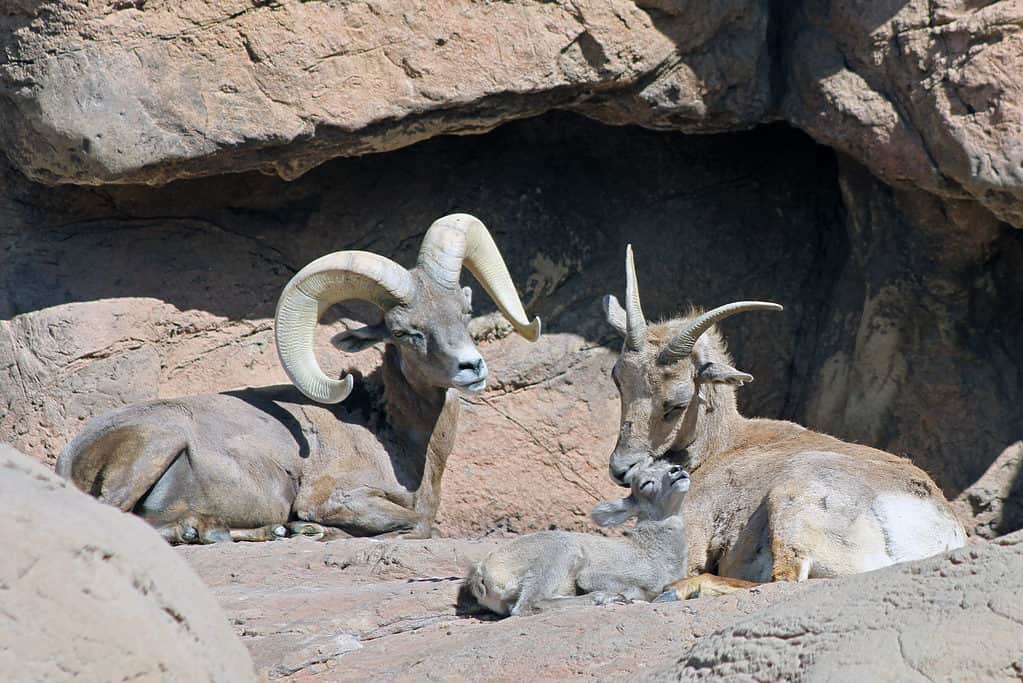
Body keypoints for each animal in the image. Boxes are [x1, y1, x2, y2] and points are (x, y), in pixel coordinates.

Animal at [56, 214, 540, 543]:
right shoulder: (332, 498)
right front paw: (315, 531)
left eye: (464, 312)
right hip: (159, 441)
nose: (471, 367)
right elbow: (418, 524)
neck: (396, 437)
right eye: (407, 332)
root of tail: (72, 455)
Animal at [466, 458, 692, 617]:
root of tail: (482, 573)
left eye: (668, 464)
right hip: (560, 554)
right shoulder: (592, 576)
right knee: (528, 605)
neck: (654, 552)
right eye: (645, 484)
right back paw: (604, 598)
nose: (677, 470)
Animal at [601, 245, 965, 596]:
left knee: (781, 581)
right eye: (619, 379)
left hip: (790, 502)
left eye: (676, 403)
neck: (722, 447)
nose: (621, 469)